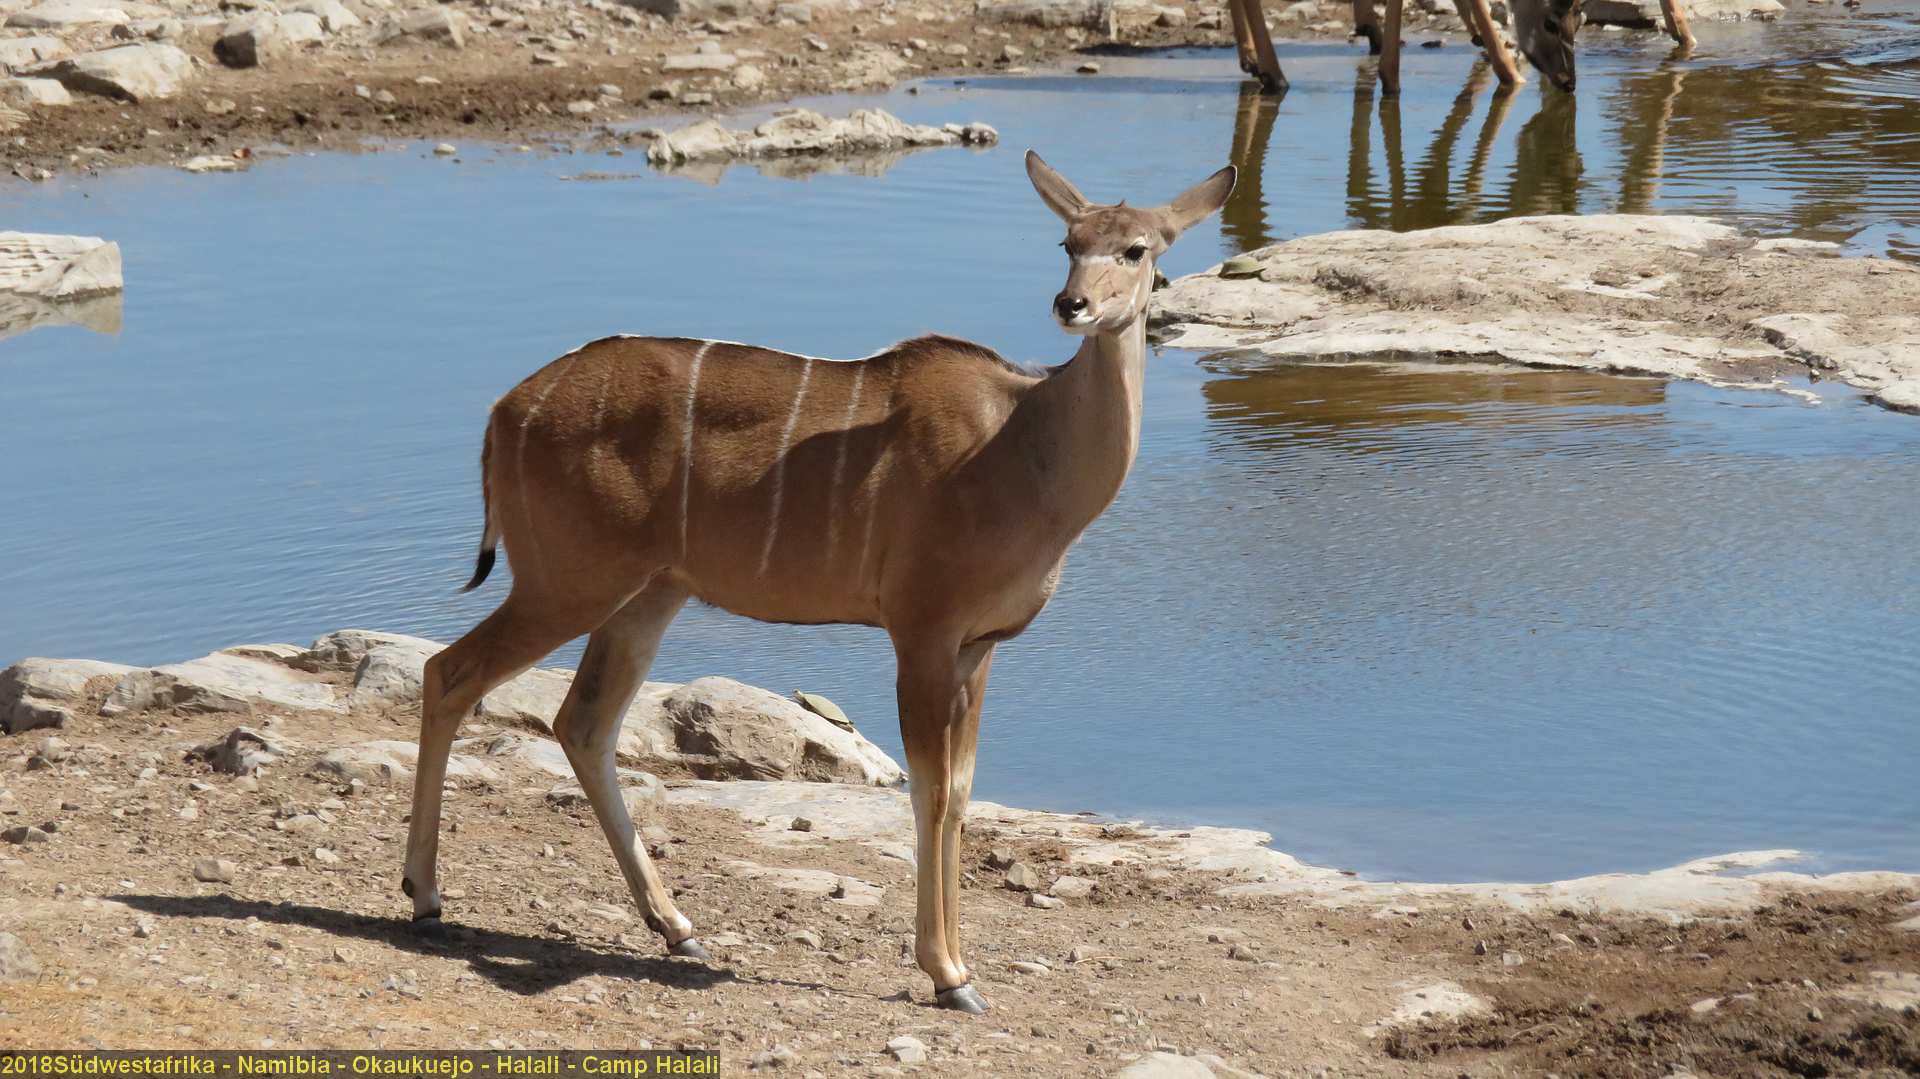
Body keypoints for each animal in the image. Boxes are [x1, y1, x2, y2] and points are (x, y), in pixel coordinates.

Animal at [399, 151, 1236, 1015]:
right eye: (1068, 241)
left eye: (1138, 249)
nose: (1072, 304)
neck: (1022, 448)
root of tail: (503, 413)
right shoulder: (922, 629)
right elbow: (929, 791)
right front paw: (947, 974)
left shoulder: (981, 645)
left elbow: (963, 791)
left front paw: (961, 968)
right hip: (567, 581)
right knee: (449, 672)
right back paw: (425, 896)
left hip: (649, 592)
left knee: (582, 722)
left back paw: (679, 928)